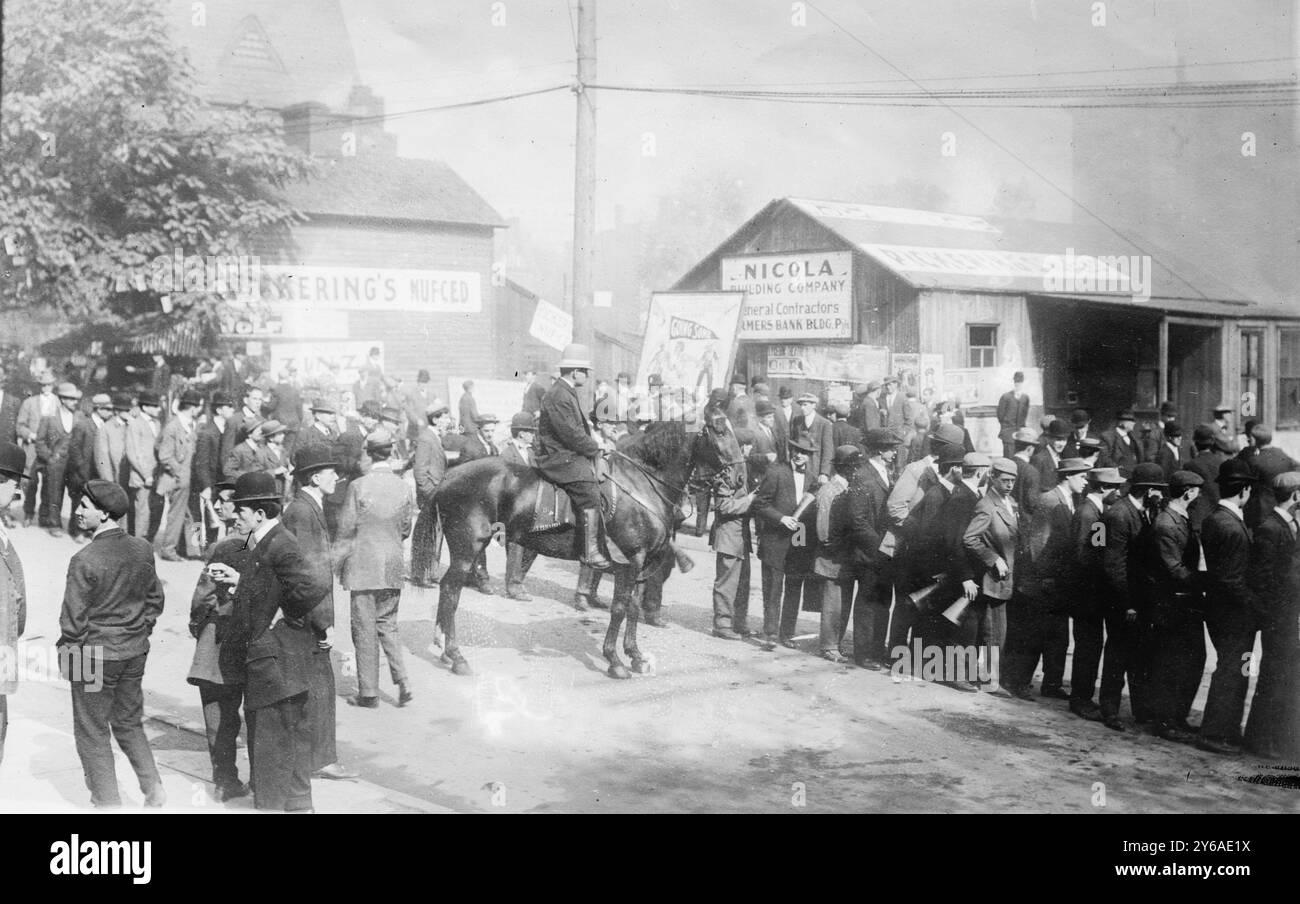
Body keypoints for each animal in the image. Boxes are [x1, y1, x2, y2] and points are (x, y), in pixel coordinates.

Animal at [434, 416, 743, 676]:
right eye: (720, 431)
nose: (739, 479)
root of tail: (449, 475)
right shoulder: (630, 561)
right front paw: (615, 661)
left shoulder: (640, 564)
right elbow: (619, 607)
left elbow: (632, 606)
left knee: (447, 589)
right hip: (467, 549)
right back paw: (456, 655)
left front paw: (635, 655)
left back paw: (443, 647)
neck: (641, 483)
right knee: (450, 591)